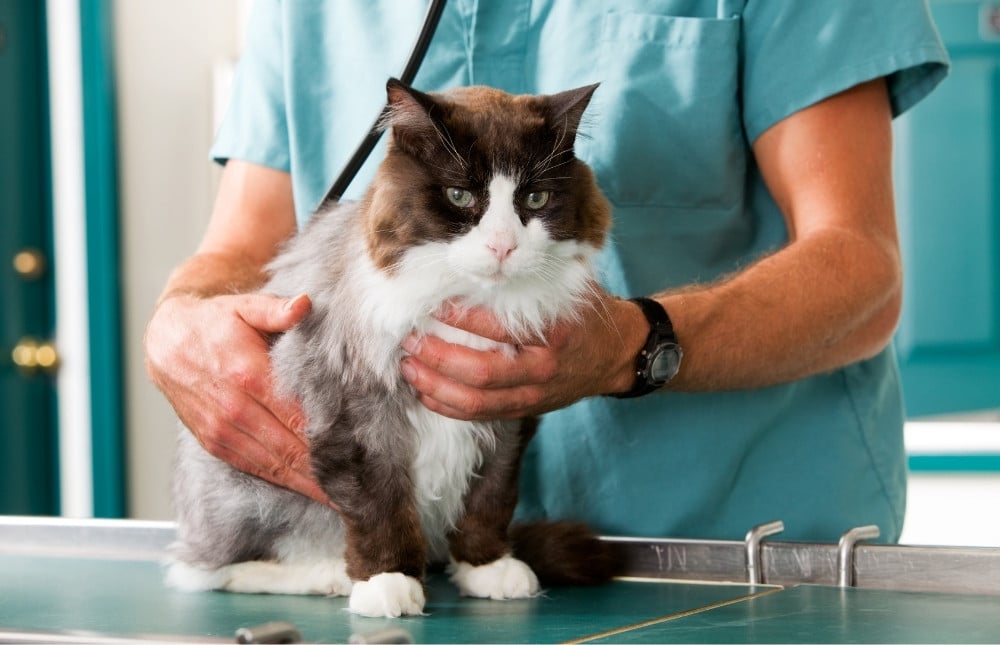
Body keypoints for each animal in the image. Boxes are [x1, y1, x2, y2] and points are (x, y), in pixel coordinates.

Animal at [166, 79, 616, 620]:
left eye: (535, 197)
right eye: (459, 195)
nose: (503, 247)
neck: (468, 300)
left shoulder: (508, 415)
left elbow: (489, 499)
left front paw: (486, 567)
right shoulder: (358, 417)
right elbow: (380, 509)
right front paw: (388, 583)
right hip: (248, 495)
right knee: (207, 570)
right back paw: (327, 576)